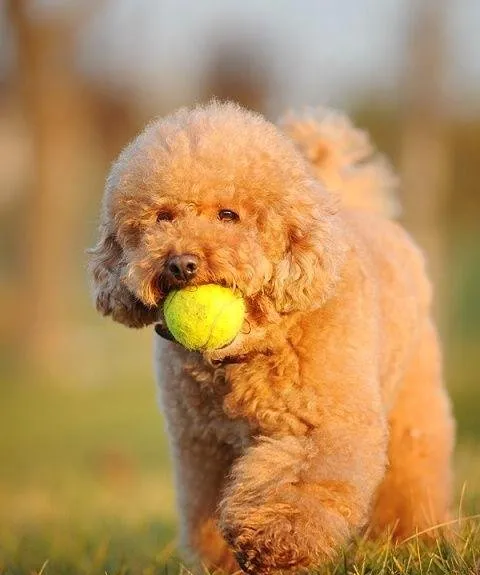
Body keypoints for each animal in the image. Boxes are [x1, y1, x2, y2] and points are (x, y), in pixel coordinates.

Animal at [89, 101, 454, 572]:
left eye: (228, 215)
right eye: (162, 217)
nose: (181, 264)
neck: (248, 351)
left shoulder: (321, 424)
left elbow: (295, 486)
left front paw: (273, 543)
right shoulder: (204, 447)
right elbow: (209, 512)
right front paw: (224, 564)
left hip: (413, 393)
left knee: (414, 471)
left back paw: (413, 540)